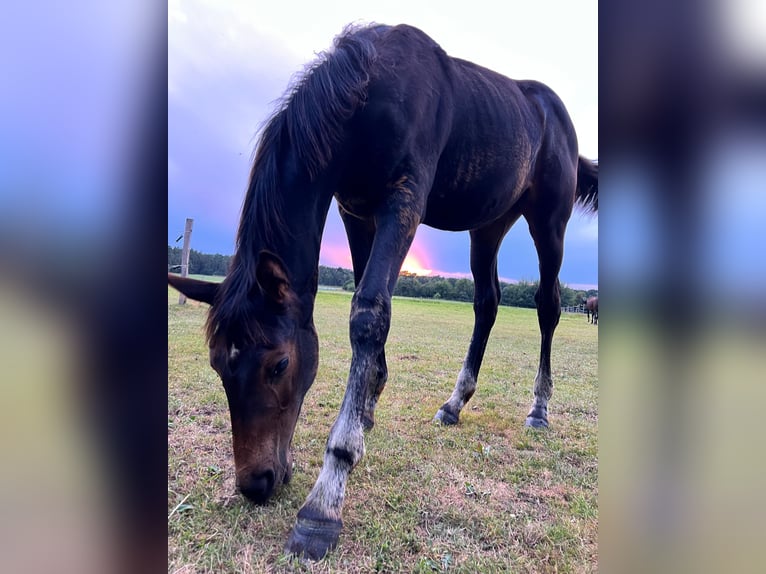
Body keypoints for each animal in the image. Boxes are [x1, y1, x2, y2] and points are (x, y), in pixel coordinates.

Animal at [168, 23, 598, 560]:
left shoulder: (404, 199)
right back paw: (454, 404)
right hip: (489, 224)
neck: (369, 90)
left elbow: (369, 311)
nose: (256, 483)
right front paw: (368, 404)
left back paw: (538, 410)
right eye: (216, 364)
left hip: (550, 221)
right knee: (487, 302)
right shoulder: (356, 210)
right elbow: (365, 297)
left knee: (547, 307)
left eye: (280, 364)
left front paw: (325, 499)